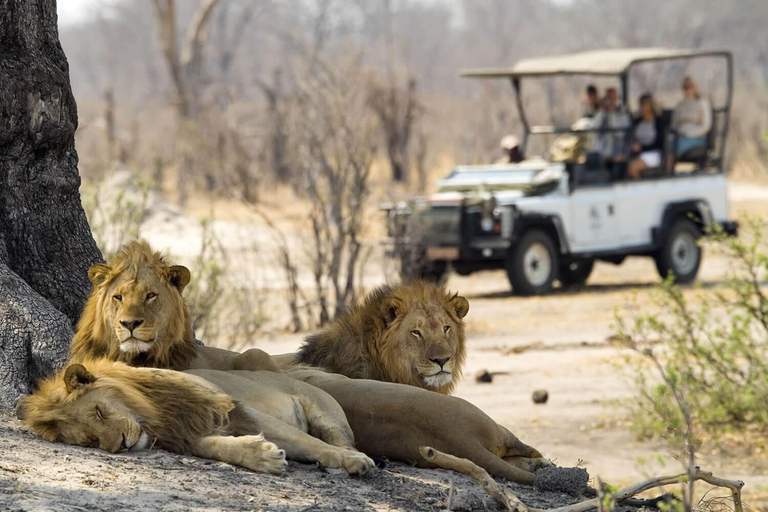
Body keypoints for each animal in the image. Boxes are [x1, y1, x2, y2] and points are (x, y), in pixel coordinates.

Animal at [18, 360, 376, 476]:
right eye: (90, 440)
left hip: (327, 413)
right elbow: (217, 447)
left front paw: (351, 461)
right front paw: (262, 456)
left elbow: (309, 442)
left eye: (99, 411)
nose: (121, 445)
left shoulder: (234, 407)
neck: (154, 414)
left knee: (339, 439)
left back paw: (351, 460)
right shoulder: (189, 432)